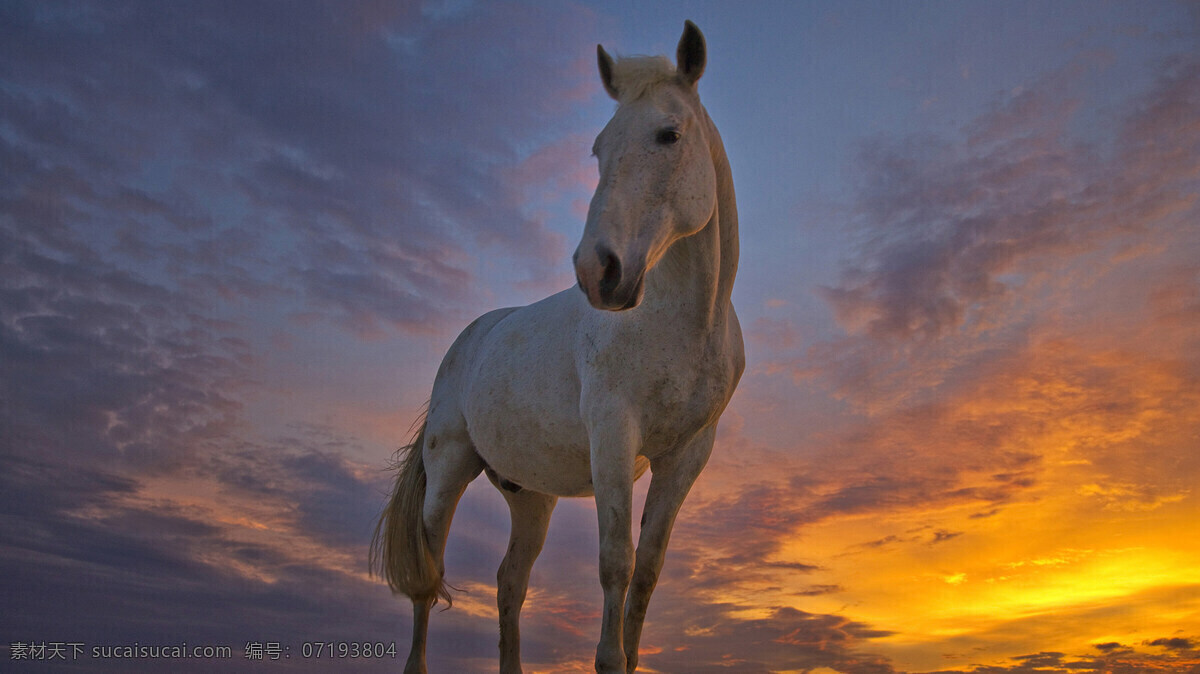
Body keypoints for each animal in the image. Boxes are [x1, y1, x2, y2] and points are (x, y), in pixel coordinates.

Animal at [374, 20, 744, 671]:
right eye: (598, 149)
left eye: (669, 134)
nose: (599, 271)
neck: (685, 324)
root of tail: (470, 339)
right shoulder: (614, 436)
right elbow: (616, 562)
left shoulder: (687, 456)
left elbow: (647, 573)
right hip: (448, 467)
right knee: (428, 576)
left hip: (532, 497)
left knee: (509, 582)